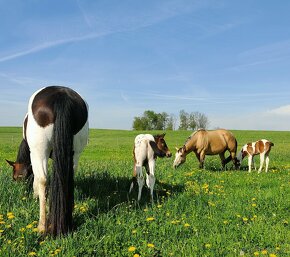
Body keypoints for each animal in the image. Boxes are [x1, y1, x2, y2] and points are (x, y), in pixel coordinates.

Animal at [6, 86, 88, 236]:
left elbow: (37, 179)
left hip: (39, 150)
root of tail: (61, 95)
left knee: (43, 179)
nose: (21, 191)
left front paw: (35, 196)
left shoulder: (33, 155)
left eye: (14, 177)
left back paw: (42, 226)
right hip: (75, 153)